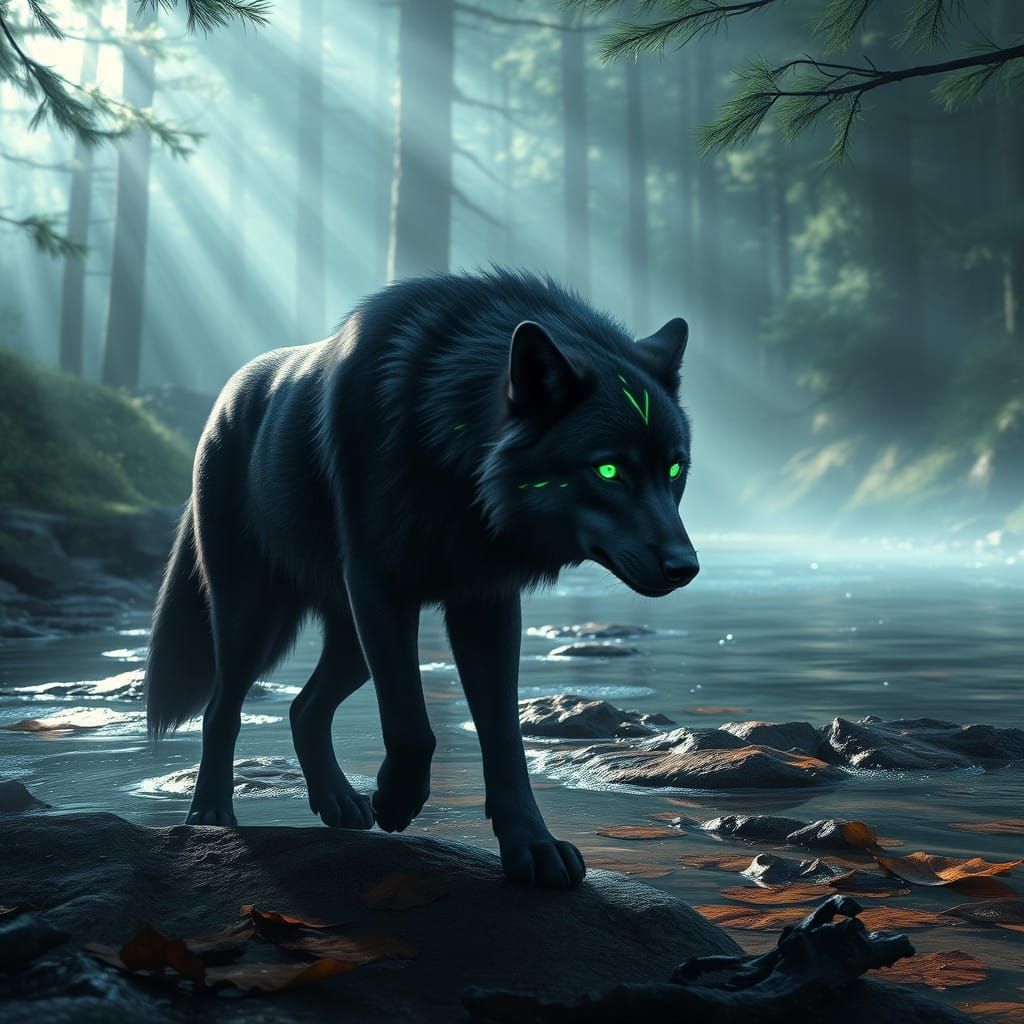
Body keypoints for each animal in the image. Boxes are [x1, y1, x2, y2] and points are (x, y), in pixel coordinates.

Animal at [145, 268, 698, 888]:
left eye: (674, 469)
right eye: (608, 470)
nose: (686, 566)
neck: (451, 453)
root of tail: (224, 397)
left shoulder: (487, 603)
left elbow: (504, 737)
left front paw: (532, 846)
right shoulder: (381, 588)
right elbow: (412, 726)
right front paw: (396, 800)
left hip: (350, 641)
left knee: (304, 708)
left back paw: (338, 803)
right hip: (256, 618)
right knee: (223, 709)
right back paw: (211, 814)